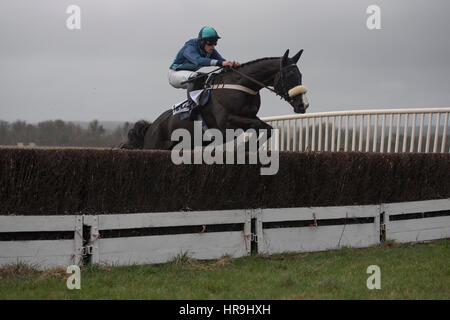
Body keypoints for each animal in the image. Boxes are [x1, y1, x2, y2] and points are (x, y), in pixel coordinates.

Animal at [121, 49, 308, 151]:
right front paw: (244, 147)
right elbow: (255, 126)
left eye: (300, 75)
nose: (302, 105)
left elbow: (267, 128)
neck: (239, 85)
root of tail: (151, 126)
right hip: (154, 145)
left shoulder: (250, 116)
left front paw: (248, 148)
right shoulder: (226, 124)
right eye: (290, 75)